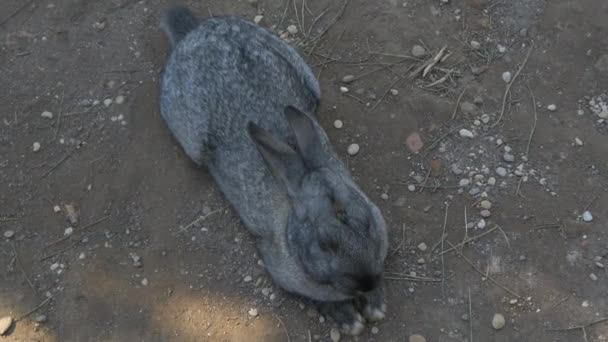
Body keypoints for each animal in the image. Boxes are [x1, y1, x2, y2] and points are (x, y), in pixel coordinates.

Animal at [160, 5, 390, 334]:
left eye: (369, 222)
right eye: (325, 244)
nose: (367, 280)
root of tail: (194, 31)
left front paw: (375, 305)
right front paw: (350, 320)